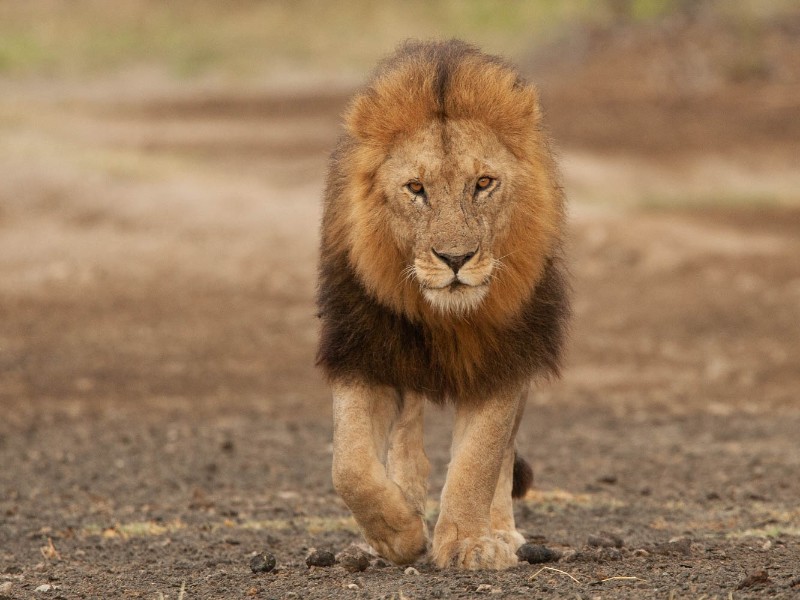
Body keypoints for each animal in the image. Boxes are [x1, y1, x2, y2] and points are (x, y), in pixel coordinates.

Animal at [316, 40, 569, 570]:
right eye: (416, 188)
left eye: (484, 183)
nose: (455, 259)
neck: (444, 316)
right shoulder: (362, 348)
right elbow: (349, 466)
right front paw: (397, 534)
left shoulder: (508, 356)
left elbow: (480, 459)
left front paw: (469, 543)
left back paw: (501, 532)